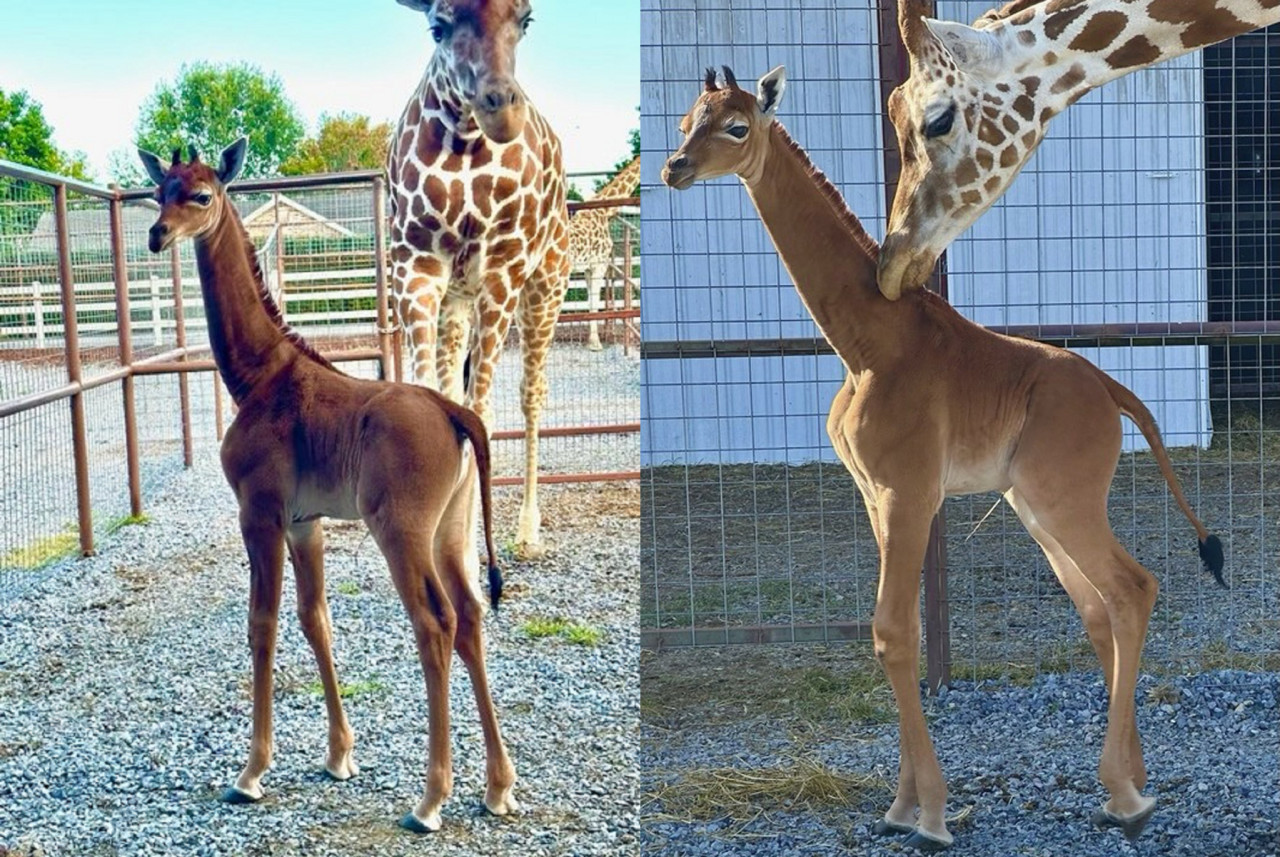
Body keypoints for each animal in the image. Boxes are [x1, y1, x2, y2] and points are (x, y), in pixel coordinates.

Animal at [137, 139, 517, 833]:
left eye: (201, 194)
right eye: (160, 191)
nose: (157, 234)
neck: (258, 376)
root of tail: (456, 413)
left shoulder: (259, 513)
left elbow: (262, 623)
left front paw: (251, 773)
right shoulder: (303, 522)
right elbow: (316, 619)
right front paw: (339, 756)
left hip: (401, 531)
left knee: (436, 622)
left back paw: (430, 801)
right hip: (451, 530)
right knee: (472, 615)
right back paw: (499, 787)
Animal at [386, 0, 568, 555]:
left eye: (526, 20)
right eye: (437, 27)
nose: (500, 109)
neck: (465, 143)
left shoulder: (502, 270)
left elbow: (481, 411)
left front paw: (466, 552)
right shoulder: (415, 268)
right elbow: (435, 400)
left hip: (545, 286)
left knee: (532, 393)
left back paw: (528, 531)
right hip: (457, 300)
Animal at [573, 156, 640, 350]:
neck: (603, 210)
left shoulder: (589, 268)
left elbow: (591, 300)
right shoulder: (599, 264)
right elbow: (595, 302)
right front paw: (595, 343)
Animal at [665, 67, 1223, 854]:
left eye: (737, 126)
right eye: (687, 119)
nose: (674, 168)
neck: (866, 343)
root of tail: (1113, 391)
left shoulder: (909, 491)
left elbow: (893, 632)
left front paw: (928, 814)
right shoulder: (876, 495)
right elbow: (897, 633)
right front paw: (902, 805)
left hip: (1063, 498)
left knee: (1131, 588)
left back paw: (1124, 796)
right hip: (1033, 506)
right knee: (1098, 605)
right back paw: (1134, 782)